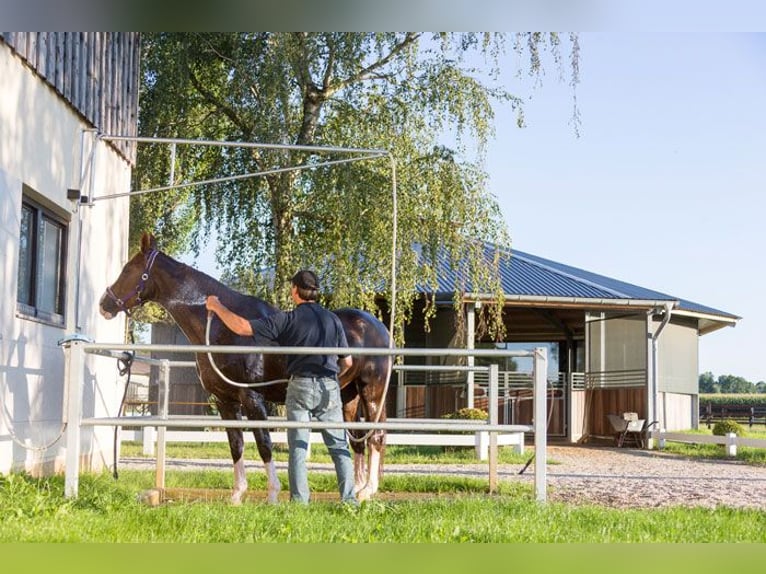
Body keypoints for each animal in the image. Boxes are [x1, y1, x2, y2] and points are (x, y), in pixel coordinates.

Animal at [99, 232, 391, 504]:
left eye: (128, 269)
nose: (104, 304)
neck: (221, 328)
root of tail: (379, 328)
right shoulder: (225, 400)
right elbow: (236, 445)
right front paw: (237, 496)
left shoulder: (252, 397)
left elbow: (264, 444)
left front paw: (272, 495)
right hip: (348, 395)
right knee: (356, 439)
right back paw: (358, 489)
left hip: (372, 391)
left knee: (375, 435)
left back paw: (368, 491)